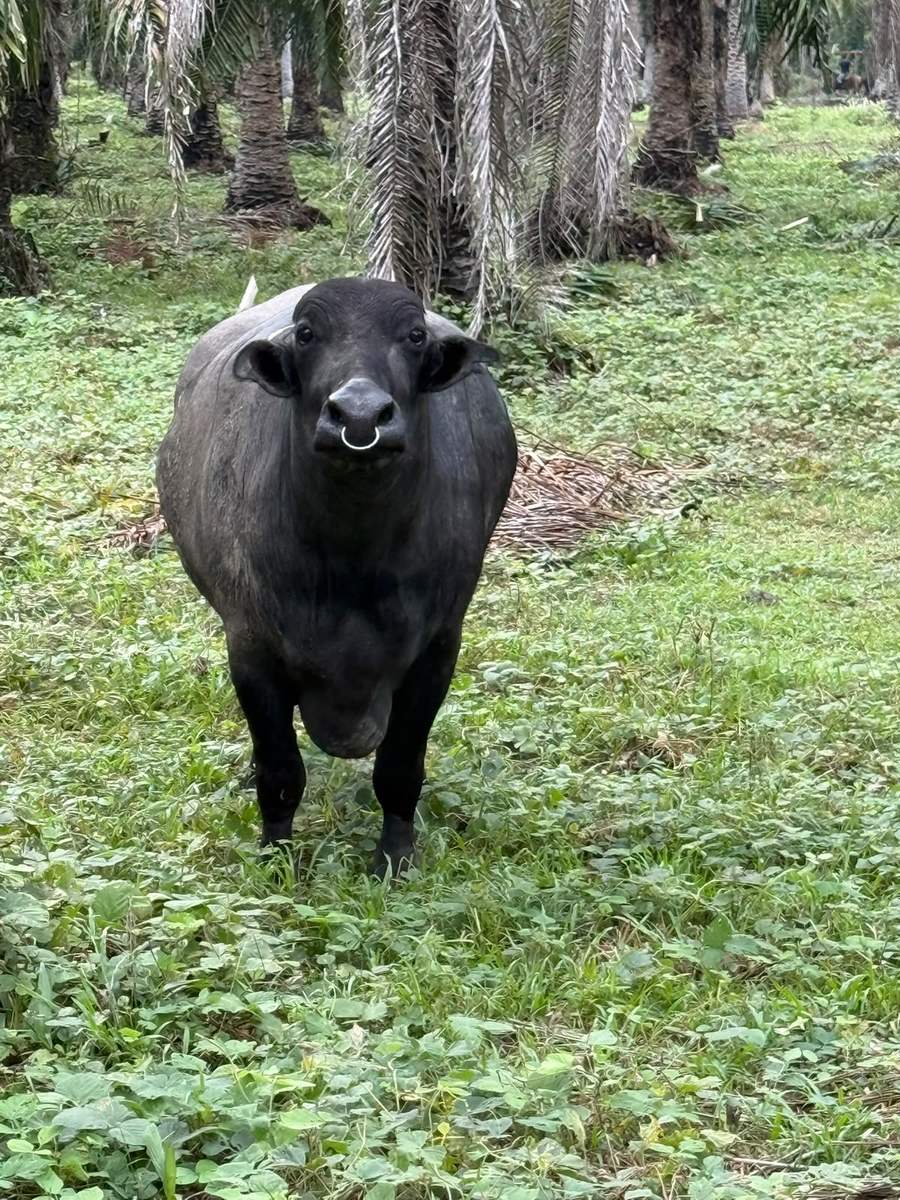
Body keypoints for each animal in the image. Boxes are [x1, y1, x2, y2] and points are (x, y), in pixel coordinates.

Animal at [157, 277, 517, 876]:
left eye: (414, 335)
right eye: (307, 335)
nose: (360, 416)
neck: (354, 559)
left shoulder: (438, 650)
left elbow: (400, 768)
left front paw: (394, 857)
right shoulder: (250, 650)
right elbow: (280, 771)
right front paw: (277, 854)